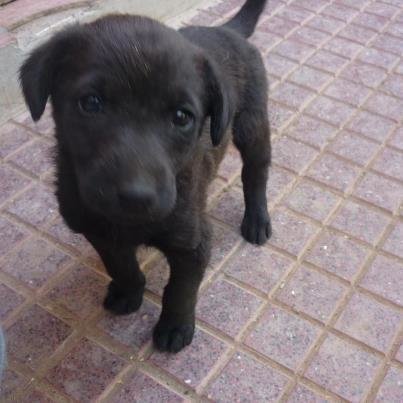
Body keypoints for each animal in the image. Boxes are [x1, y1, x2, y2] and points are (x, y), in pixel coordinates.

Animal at [19, 0, 271, 353]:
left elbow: (180, 290)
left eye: (181, 116)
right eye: (91, 103)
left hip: (252, 123)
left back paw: (257, 219)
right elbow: (120, 264)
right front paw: (129, 292)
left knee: (256, 171)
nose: (136, 196)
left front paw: (175, 327)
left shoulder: (193, 241)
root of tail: (226, 30)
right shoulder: (96, 228)